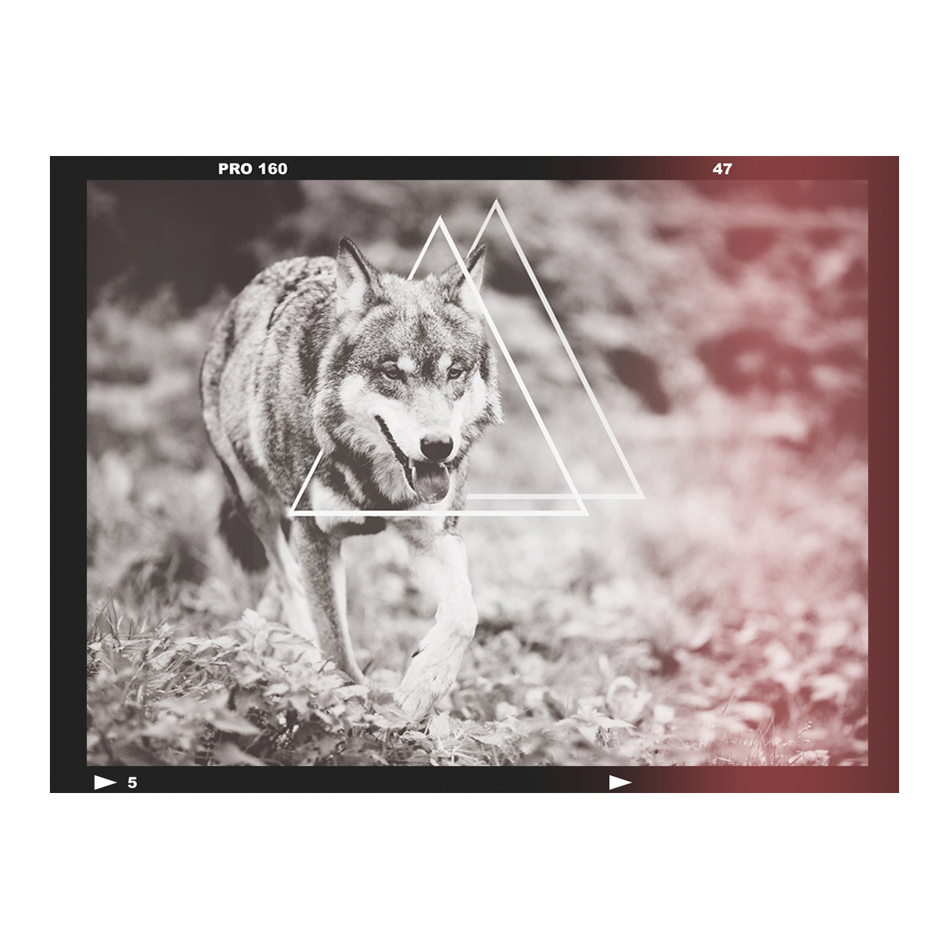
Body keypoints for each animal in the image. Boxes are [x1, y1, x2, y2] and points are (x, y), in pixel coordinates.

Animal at [200, 239, 502, 719]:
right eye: (392, 371)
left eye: (454, 371)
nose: (439, 445)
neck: (372, 479)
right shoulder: (315, 535)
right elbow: (336, 645)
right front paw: (348, 705)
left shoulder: (432, 536)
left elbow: (464, 614)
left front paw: (424, 685)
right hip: (254, 503)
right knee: (286, 576)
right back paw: (298, 647)